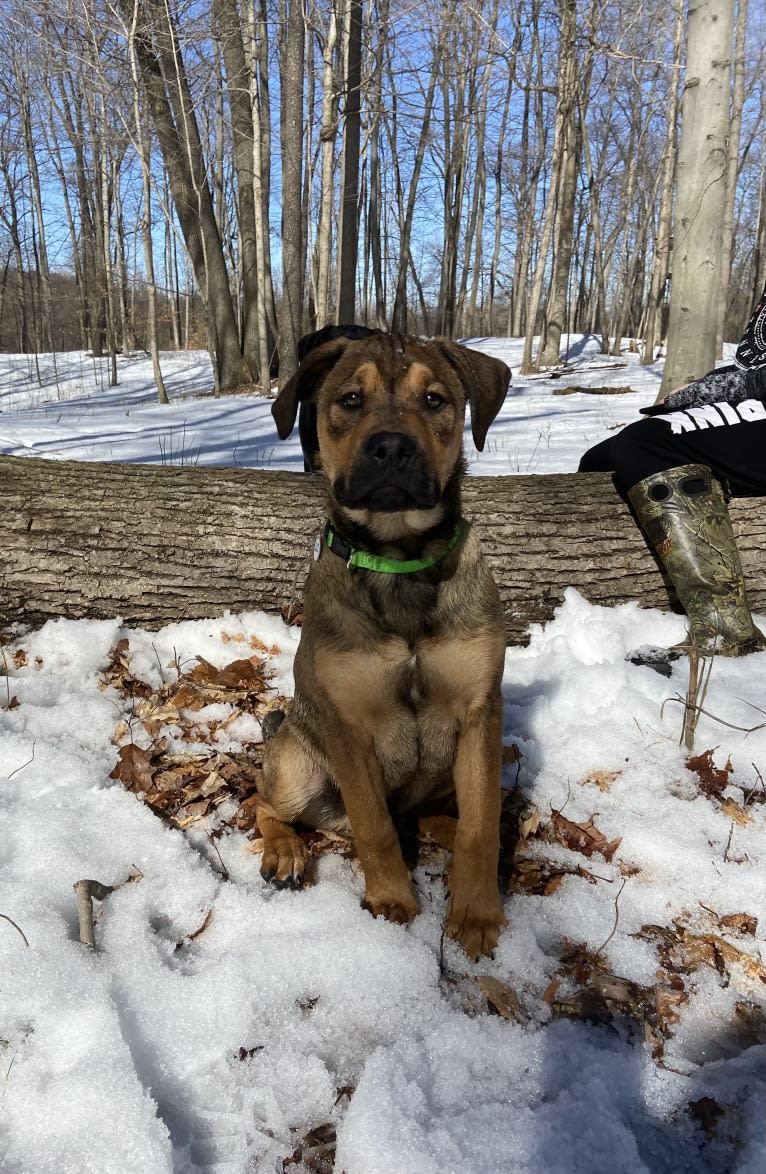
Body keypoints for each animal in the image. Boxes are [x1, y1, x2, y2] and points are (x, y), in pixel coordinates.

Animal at [253, 328, 512, 953]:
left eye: (435, 400)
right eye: (350, 399)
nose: (392, 448)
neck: (399, 561)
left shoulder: (480, 710)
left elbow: (481, 823)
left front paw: (477, 914)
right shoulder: (348, 722)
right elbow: (373, 827)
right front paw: (393, 903)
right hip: (296, 762)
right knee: (261, 798)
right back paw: (285, 850)